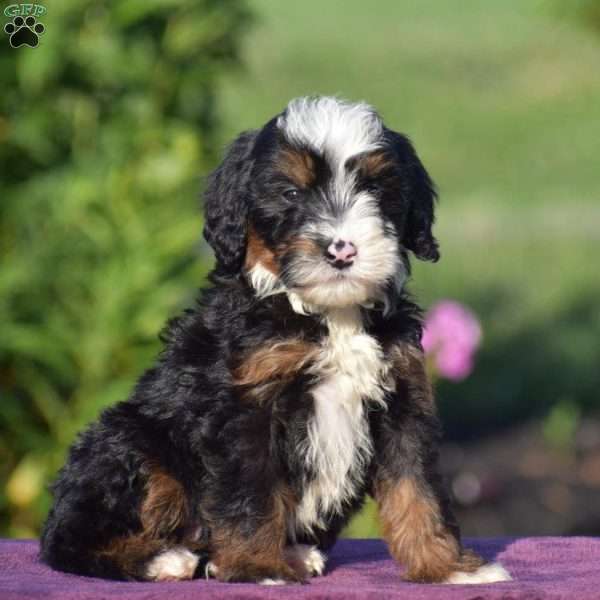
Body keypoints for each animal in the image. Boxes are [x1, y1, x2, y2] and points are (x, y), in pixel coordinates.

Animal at [41, 96, 510, 584]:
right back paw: (163, 559)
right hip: (134, 440)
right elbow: (252, 494)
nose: (342, 250)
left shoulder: (402, 399)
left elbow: (417, 491)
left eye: (375, 190)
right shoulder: (247, 407)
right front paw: (257, 567)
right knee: (68, 542)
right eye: (291, 194)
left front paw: (446, 568)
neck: (331, 315)